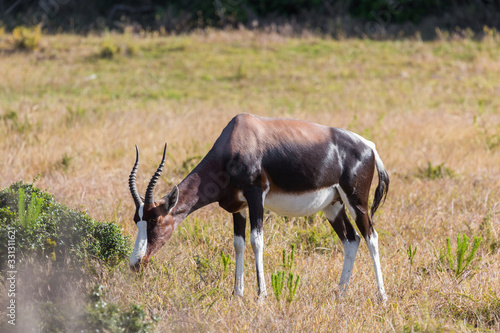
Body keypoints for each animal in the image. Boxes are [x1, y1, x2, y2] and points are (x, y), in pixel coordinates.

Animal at [127, 113, 388, 300]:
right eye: (136, 220)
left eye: (155, 220)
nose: (135, 264)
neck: (238, 137)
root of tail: (370, 146)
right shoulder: (239, 207)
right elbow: (238, 244)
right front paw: (237, 293)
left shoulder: (255, 196)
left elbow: (256, 241)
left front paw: (261, 295)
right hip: (333, 206)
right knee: (351, 240)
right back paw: (340, 294)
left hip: (356, 202)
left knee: (371, 236)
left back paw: (381, 297)